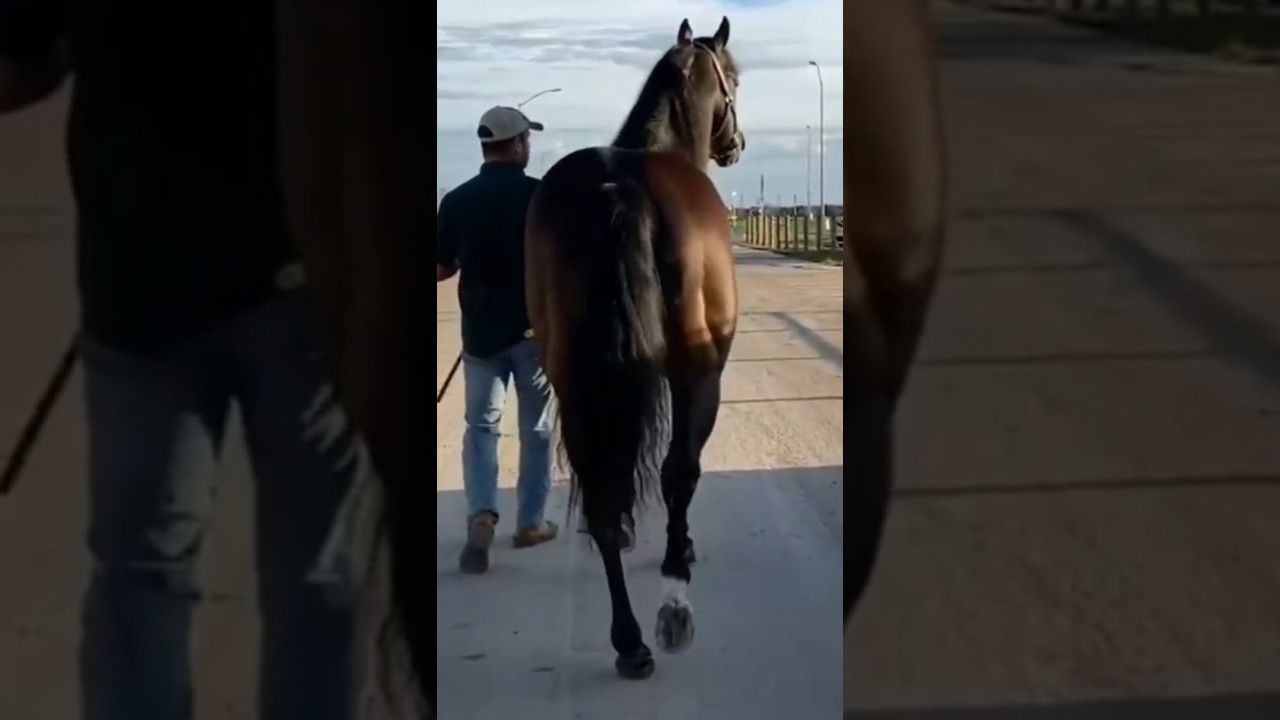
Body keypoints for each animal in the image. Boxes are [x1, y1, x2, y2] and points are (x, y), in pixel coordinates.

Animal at [524, 17, 744, 680]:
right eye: (735, 77)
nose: (736, 143)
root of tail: (615, 186)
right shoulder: (698, 372)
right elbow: (681, 470)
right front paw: (682, 551)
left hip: (572, 375)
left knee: (599, 490)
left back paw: (628, 638)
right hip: (697, 370)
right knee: (678, 471)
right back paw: (671, 609)